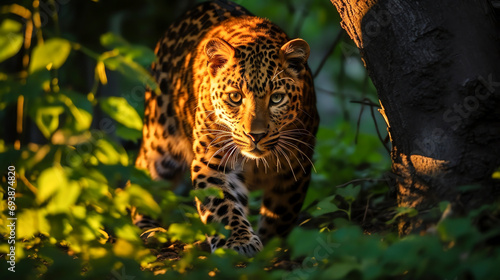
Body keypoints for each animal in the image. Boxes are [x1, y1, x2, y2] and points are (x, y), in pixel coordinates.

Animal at [135, 0, 318, 258]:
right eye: (235, 97)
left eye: (277, 98)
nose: (256, 135)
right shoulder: (211, 162)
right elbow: (223, 207)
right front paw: (239, 242)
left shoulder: (295, 167)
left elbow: (281, 215)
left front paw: (271, 246)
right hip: (159, 141)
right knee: (141, 178)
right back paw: (150, 231)